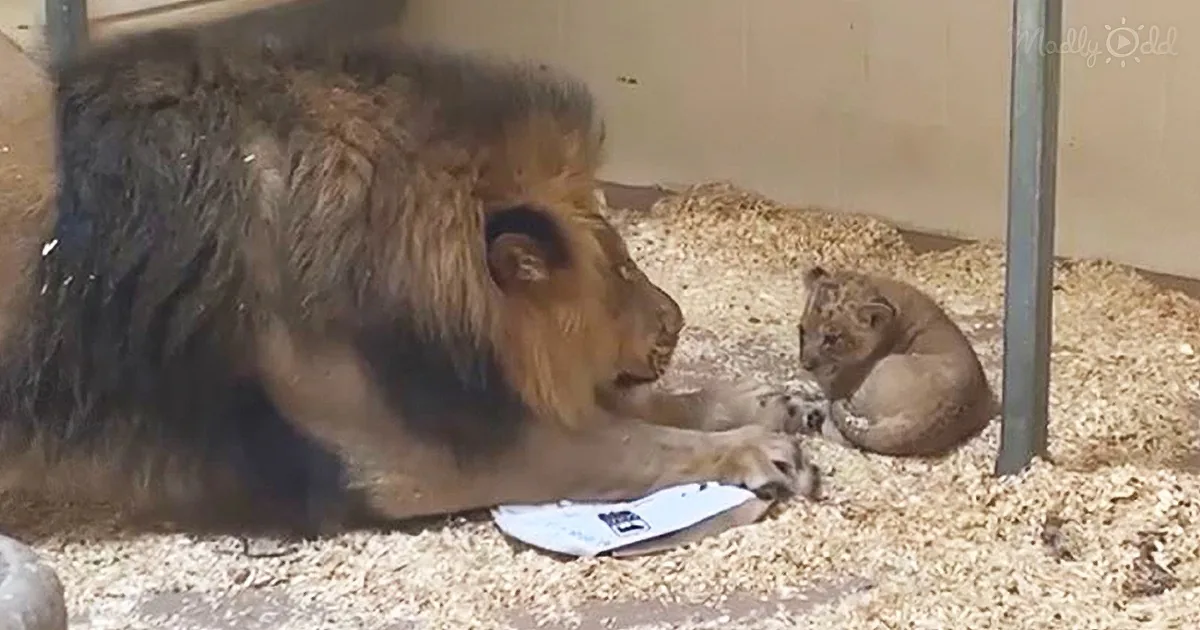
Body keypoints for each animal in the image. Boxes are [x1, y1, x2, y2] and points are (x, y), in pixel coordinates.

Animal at [0, 28, 818, 536]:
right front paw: (758, 451)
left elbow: (651, 406)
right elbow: (628, 444)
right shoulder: (403, 455)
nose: (677, 322)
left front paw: (771, 403)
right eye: (617, 271)